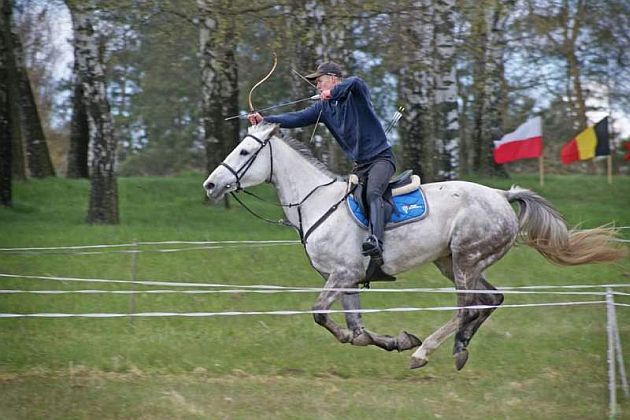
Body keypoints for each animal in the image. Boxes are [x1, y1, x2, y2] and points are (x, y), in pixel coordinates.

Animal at [204, 123, 628, 370]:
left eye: (245, 152)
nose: (210, 185)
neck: (316, 201)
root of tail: (501, 195)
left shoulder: (341, 275)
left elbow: (321, 315)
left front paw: (408, 344)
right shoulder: (348, 280)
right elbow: (357, 331)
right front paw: (398, 340)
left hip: (466, 260)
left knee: (467, 306)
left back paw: (428, 352)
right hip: (456, 262)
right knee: (491, 299)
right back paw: (459, 349)